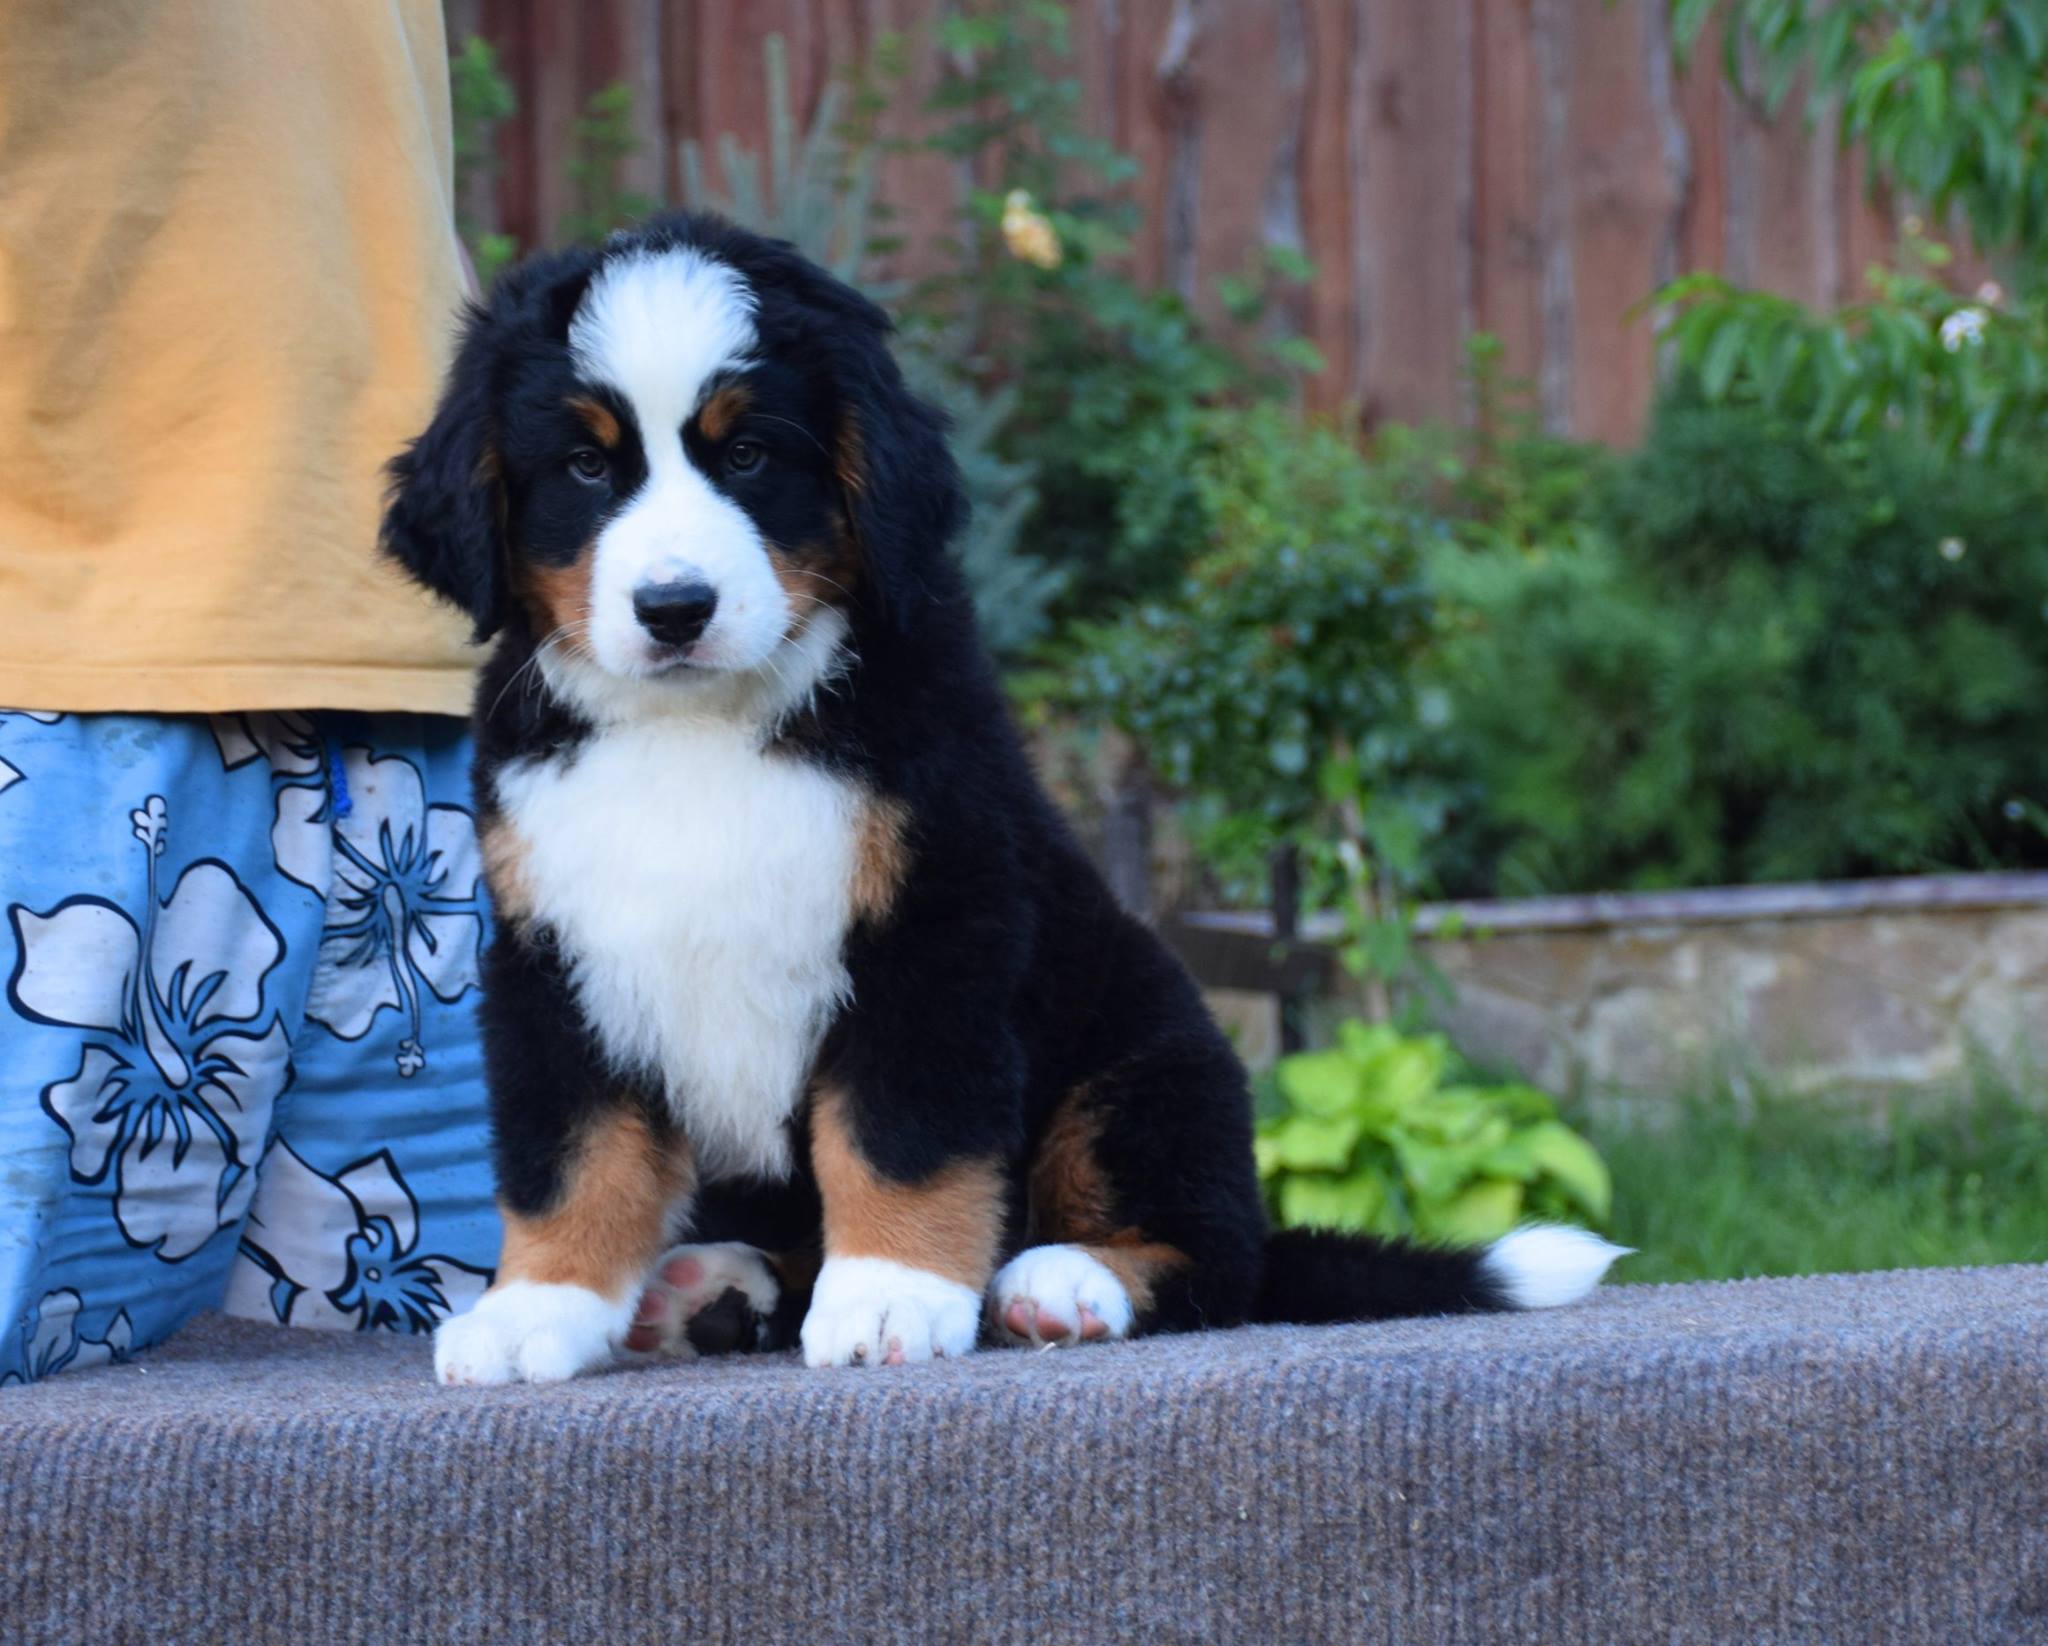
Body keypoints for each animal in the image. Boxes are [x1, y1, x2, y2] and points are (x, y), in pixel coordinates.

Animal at [382, 213, 1623, 1383]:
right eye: (586, 470)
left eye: (749, 454)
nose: (674, 605)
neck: (701, 727)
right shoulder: (551, 956)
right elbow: (571, 1156)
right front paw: (536, 1309)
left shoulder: (933, 919)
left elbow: (898, 1132)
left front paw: (889, 1293)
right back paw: (708, 1289)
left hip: (1140, 1060)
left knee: (1212, 1257)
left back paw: (1062, 1281)